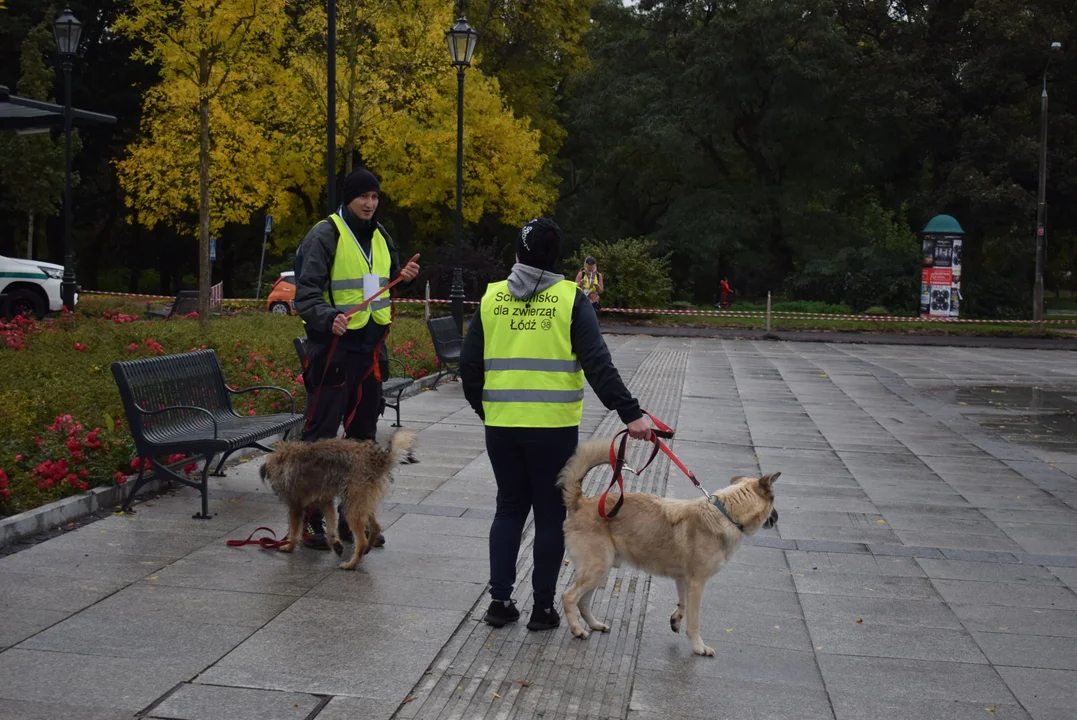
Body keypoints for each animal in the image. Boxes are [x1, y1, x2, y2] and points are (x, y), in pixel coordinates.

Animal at [256, 430, 415, 568]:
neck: (285, 458)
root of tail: (377, 459)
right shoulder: (325, 501)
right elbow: (331, 523)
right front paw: (335, 542)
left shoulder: (296, 506)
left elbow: (294, 531)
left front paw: (289, 546)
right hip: (361, 501)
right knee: (376, 526)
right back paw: (368, 546)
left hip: (352, 505)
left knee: (361, 540)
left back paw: (351, 564)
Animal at [560, 441, 779, 654]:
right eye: (774, 500)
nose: (777, 518)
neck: (726, 513)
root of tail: (581, 502)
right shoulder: (697, 583)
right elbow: (694, 621)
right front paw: (698, 646)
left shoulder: (683, 580)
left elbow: (683, 604)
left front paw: (676, 619)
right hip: (597, 568)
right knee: (569, 597)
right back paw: (577, 629)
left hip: (601, 570)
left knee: (583, 601)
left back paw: (594, 624)